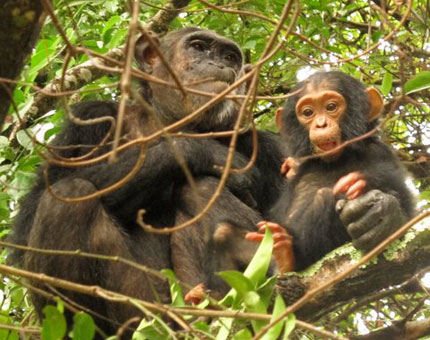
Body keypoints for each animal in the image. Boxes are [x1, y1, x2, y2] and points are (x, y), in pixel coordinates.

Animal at [247, 70, 414, 272]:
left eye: (331, 107)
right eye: (308, 112)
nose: (321, 124)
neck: (336, 160)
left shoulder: (380, 154)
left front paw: (384, 216)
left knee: (325, 196)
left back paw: (287, 253)